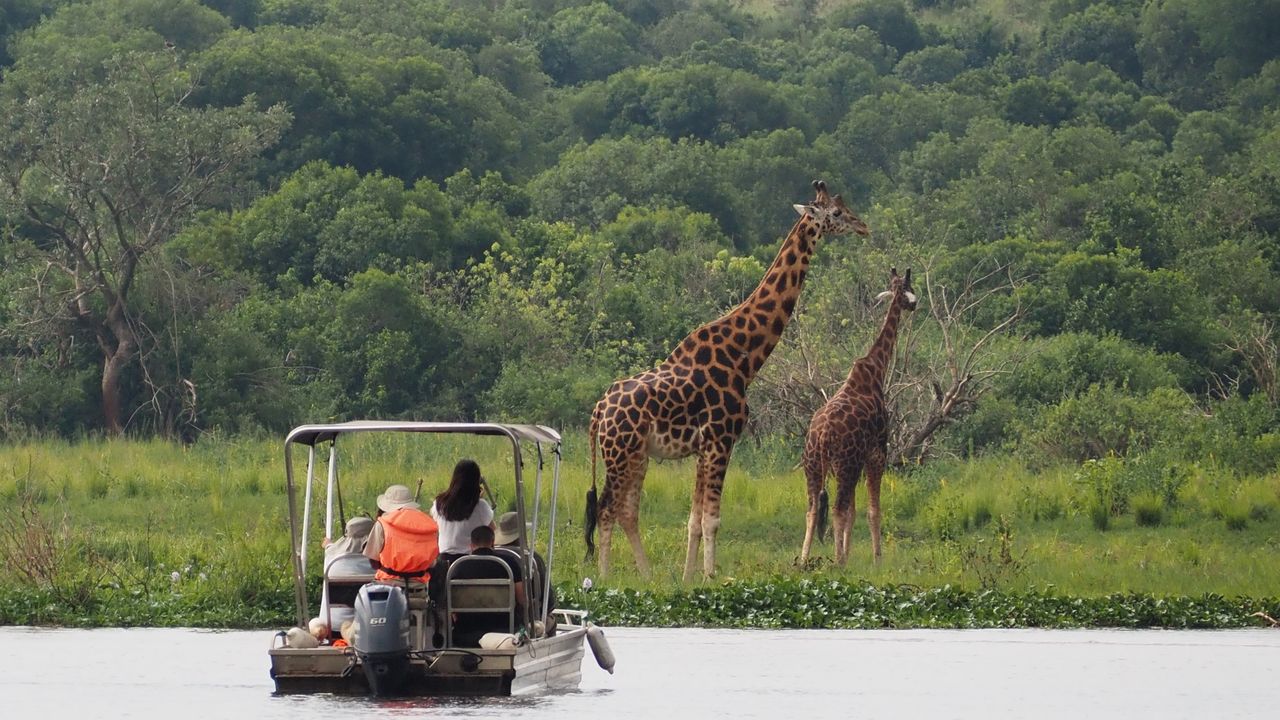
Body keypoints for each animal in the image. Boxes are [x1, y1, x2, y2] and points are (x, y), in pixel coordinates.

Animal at [586, 179, 875, 576]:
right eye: (836, 212)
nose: (863, 226)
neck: (744, 357)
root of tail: (598, 412)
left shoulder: (703, 448)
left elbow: (693, 520)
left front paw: (687, 577)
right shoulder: (722, 441)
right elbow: (712, 520)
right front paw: (710, 576)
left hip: (635, 455)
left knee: (627, 511)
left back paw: (647, 577)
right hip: (619, 452)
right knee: (606, 510)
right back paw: (605, 577)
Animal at [798, 266, 911, 563]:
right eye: (909, 287)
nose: (914, 304)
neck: (876, 369)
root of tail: (822, 436)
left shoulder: (856, 461)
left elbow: (853, 511)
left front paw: (849, 552)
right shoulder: (877, 451)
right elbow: (872, 510)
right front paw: (876, 558)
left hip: (814, 465)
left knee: (813, 510)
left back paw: (803, 561)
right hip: (843, 464)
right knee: (836, 509)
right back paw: (838, 562)